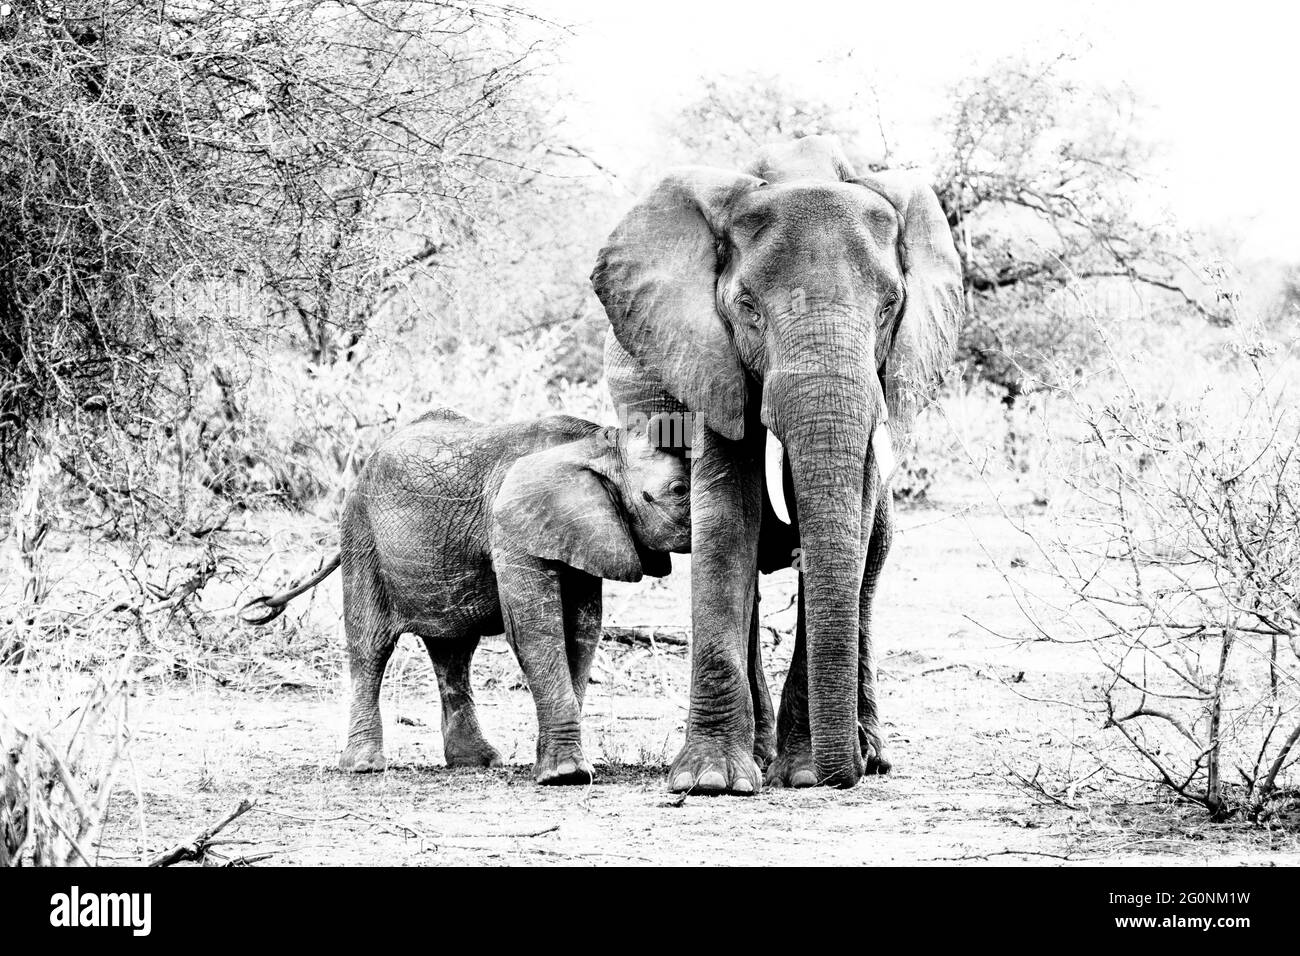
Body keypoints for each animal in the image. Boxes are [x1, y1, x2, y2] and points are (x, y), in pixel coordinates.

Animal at [245, 408, 691, 785]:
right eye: (679, 489)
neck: (599, 441)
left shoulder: (585, 529)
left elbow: (580, 633)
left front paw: (559, 766)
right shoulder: (511, 527)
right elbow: (536, 630)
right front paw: (566, 775)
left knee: (453, 650)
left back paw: (476, 762)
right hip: (360, 532)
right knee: (370, 645)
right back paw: (364, 766)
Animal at [595, 134, 961, 790]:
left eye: (890, 306)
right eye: (747, 307)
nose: (842, 776)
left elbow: (856, 522)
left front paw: (808, 771)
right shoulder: (706, 353)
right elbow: (725, 516)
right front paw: (710, 781)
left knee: (874, 560)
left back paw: (868, 753)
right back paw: (766, 756)